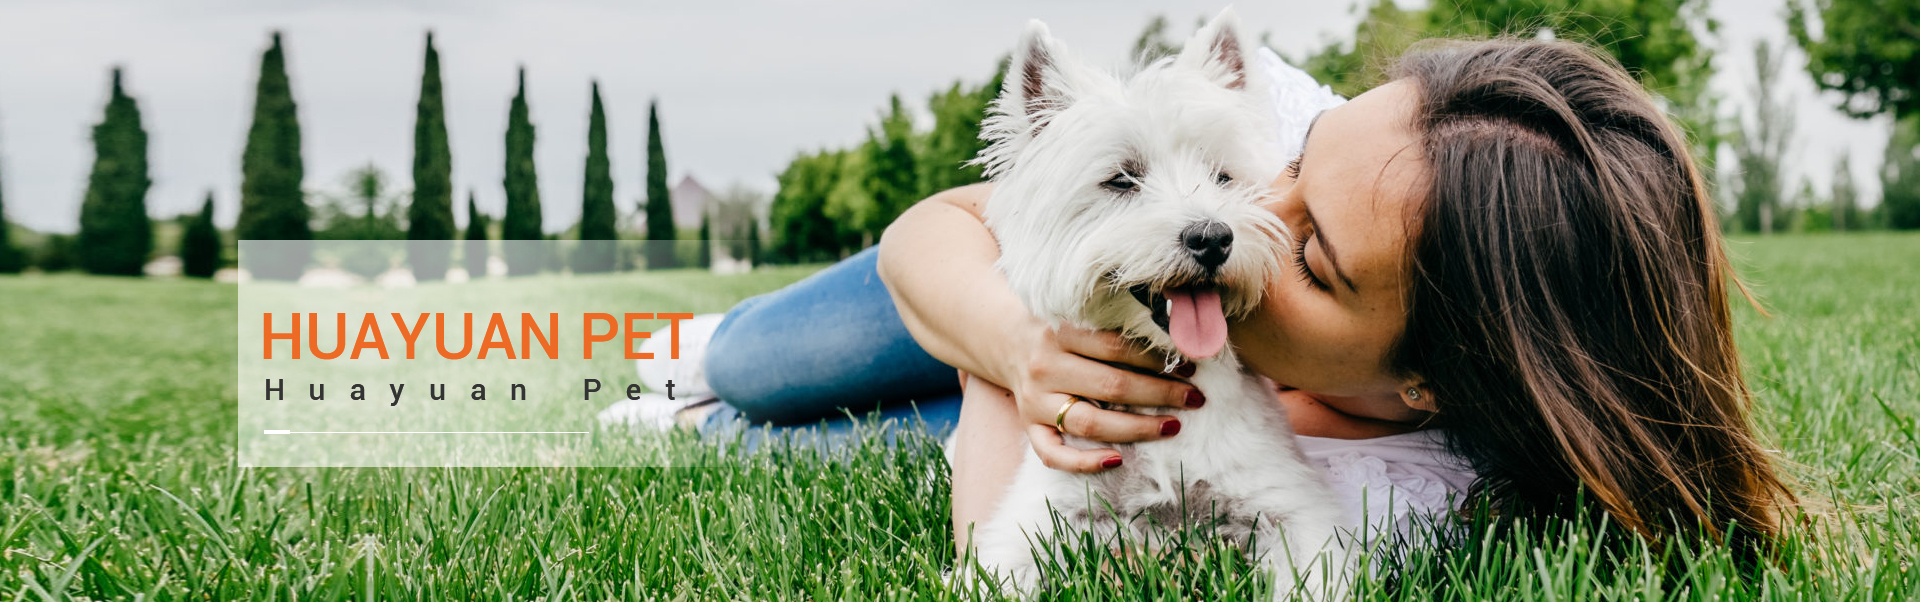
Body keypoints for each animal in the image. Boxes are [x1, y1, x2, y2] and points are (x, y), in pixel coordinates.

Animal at [967, 9, 1359, 602]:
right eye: (1121, 179)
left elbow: (1313, 573)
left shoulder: (1289, 505)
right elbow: (996, 573)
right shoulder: (1040, 515)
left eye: (1223, 175)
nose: (1213, 238)